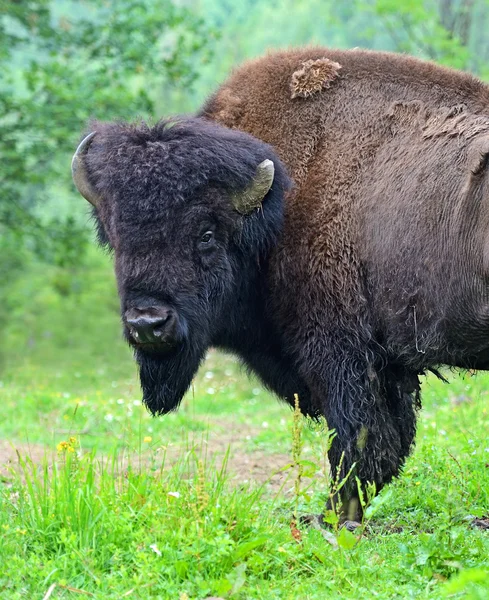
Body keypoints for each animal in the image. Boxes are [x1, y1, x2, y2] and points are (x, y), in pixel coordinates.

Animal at [70, 49, 488, 524]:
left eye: (207, 234)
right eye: (115, 236)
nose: (148, 323)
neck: (276, 208)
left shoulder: (339, 354)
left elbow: (357, 443)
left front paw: (332, 517)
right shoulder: (389, 365)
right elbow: (385, 444)